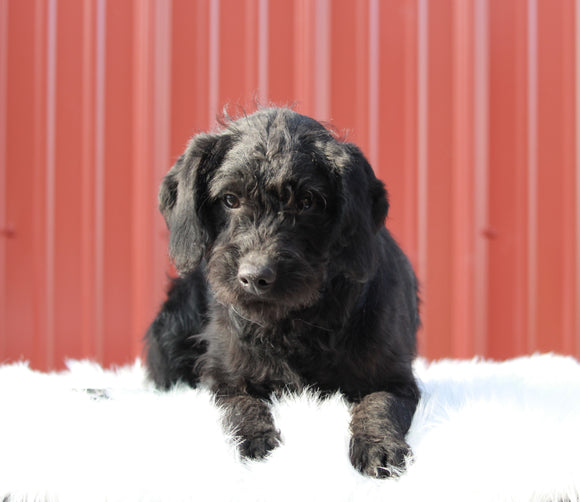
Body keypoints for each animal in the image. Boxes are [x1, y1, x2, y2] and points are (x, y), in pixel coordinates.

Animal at [143, 108, 420, 476]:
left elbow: (379, 405)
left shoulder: (395, 380)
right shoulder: (224, 381)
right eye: (229, 199)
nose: (255, 277)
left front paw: (379, 445)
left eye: (307, 202)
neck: (292, 323)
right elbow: (241, 407)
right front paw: (255, 439)